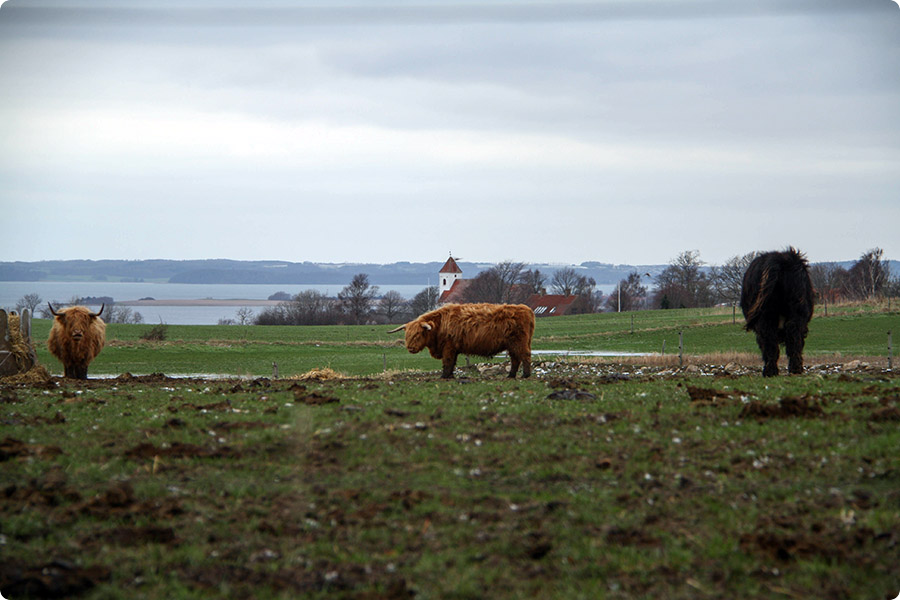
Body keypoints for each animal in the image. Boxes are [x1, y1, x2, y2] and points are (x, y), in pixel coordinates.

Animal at [386, 302, 536, 378]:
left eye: (418, 334)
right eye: (407, 335)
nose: (410, 348)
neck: (439, 325)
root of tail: (526, 309)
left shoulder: (448, 348)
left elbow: (447, 362)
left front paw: (444, 377)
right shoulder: (454, 349)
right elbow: (452, 363)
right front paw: (450, 376)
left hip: (519, 342)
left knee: (525, 356)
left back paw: (525, 375)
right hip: (512, 345)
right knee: (515, 359)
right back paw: (510, 375)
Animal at [740, 247, 816, 378]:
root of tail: (778, 260)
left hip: (766, 316)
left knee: (770, 340)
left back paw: (770, 371)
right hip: (795, 310)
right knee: (793, 336)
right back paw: (794, 369)